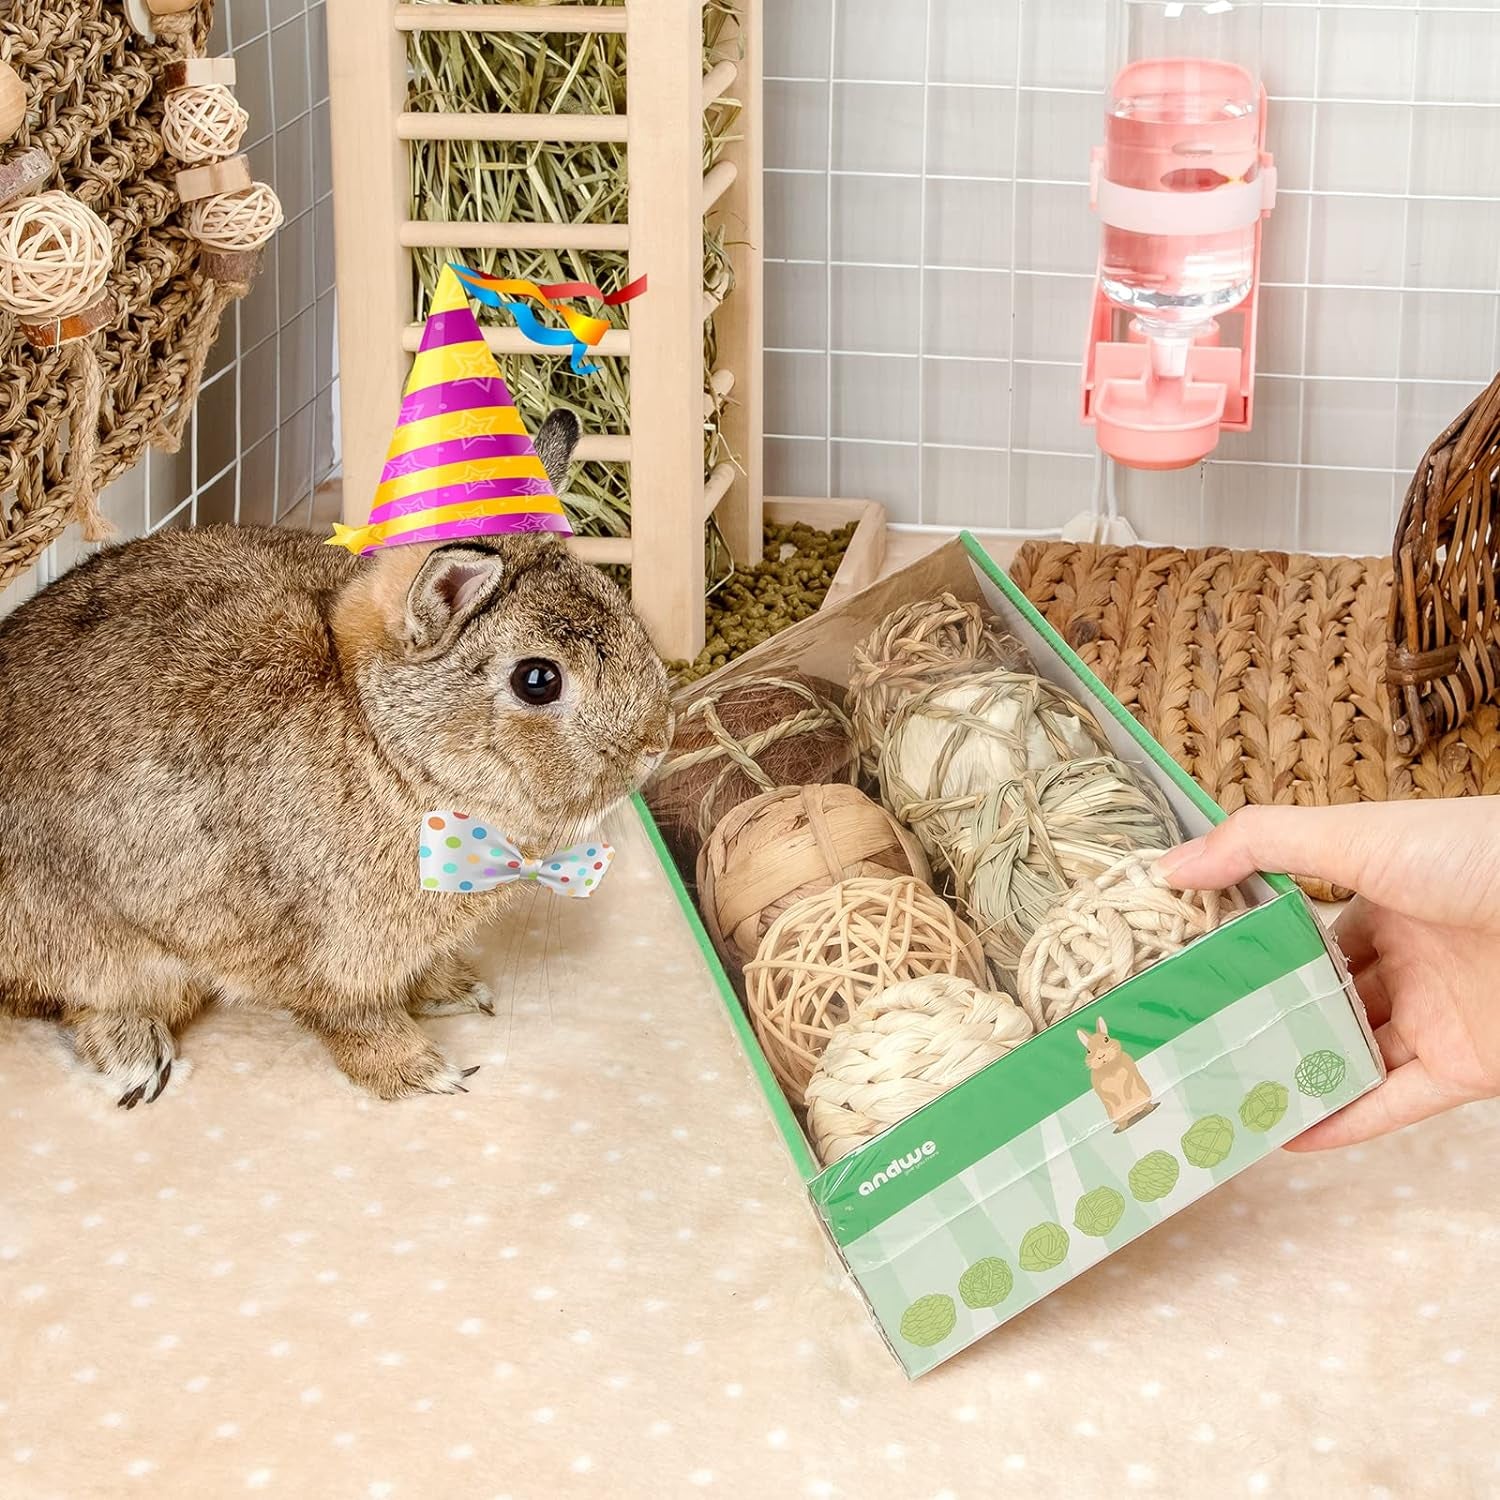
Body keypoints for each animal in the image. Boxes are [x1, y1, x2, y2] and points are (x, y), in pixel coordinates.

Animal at [0, 410, 673, 1104]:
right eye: (537, 681)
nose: (657, 743)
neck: (387, 744)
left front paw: (457, 991)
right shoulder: (338, 953)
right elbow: (353, 1017)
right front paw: (423, 1073)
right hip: (96, 946)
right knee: (80, 1002)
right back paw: (137, 1058)